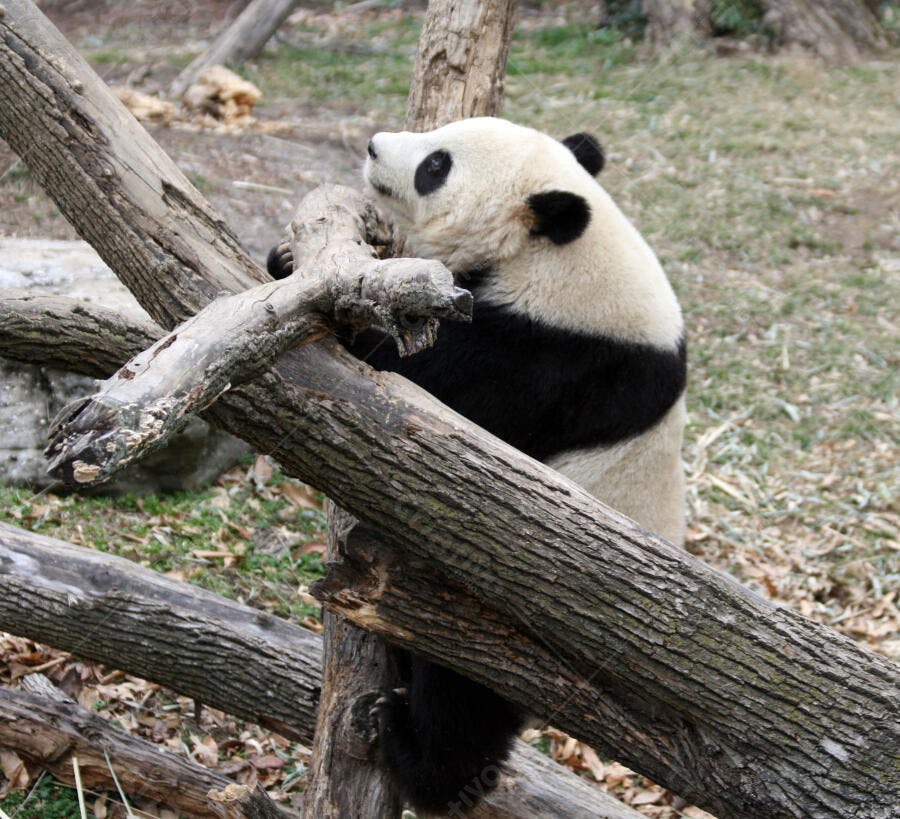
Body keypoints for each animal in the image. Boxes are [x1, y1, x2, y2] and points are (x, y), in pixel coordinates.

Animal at [268, 117, 686, 814]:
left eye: (435, 165)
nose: (374, 146)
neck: (560, 255)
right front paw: (285, 260)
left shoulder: (547, 356)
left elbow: (414, 376)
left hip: (519, 616)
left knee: (464, 696)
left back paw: (418, 756)